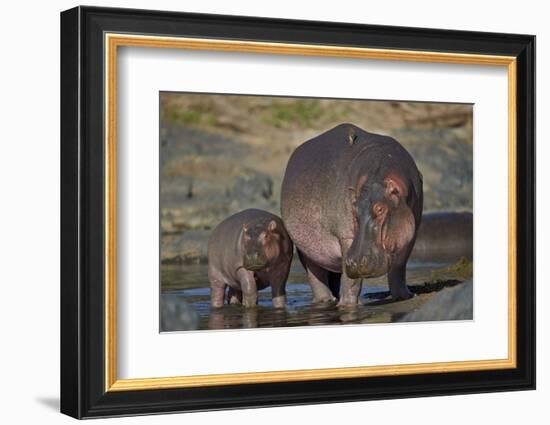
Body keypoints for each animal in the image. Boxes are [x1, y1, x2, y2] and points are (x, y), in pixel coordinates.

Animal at [282, 122, 424, 304]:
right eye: (354, 207)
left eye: (380, 208)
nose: (354, 262)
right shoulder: (346, 237)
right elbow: (351, 281)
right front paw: (347, 305)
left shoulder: (411, 233)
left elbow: (399, 267)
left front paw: (405, 296)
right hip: (306, 248)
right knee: (316, 276)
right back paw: (326, 300)